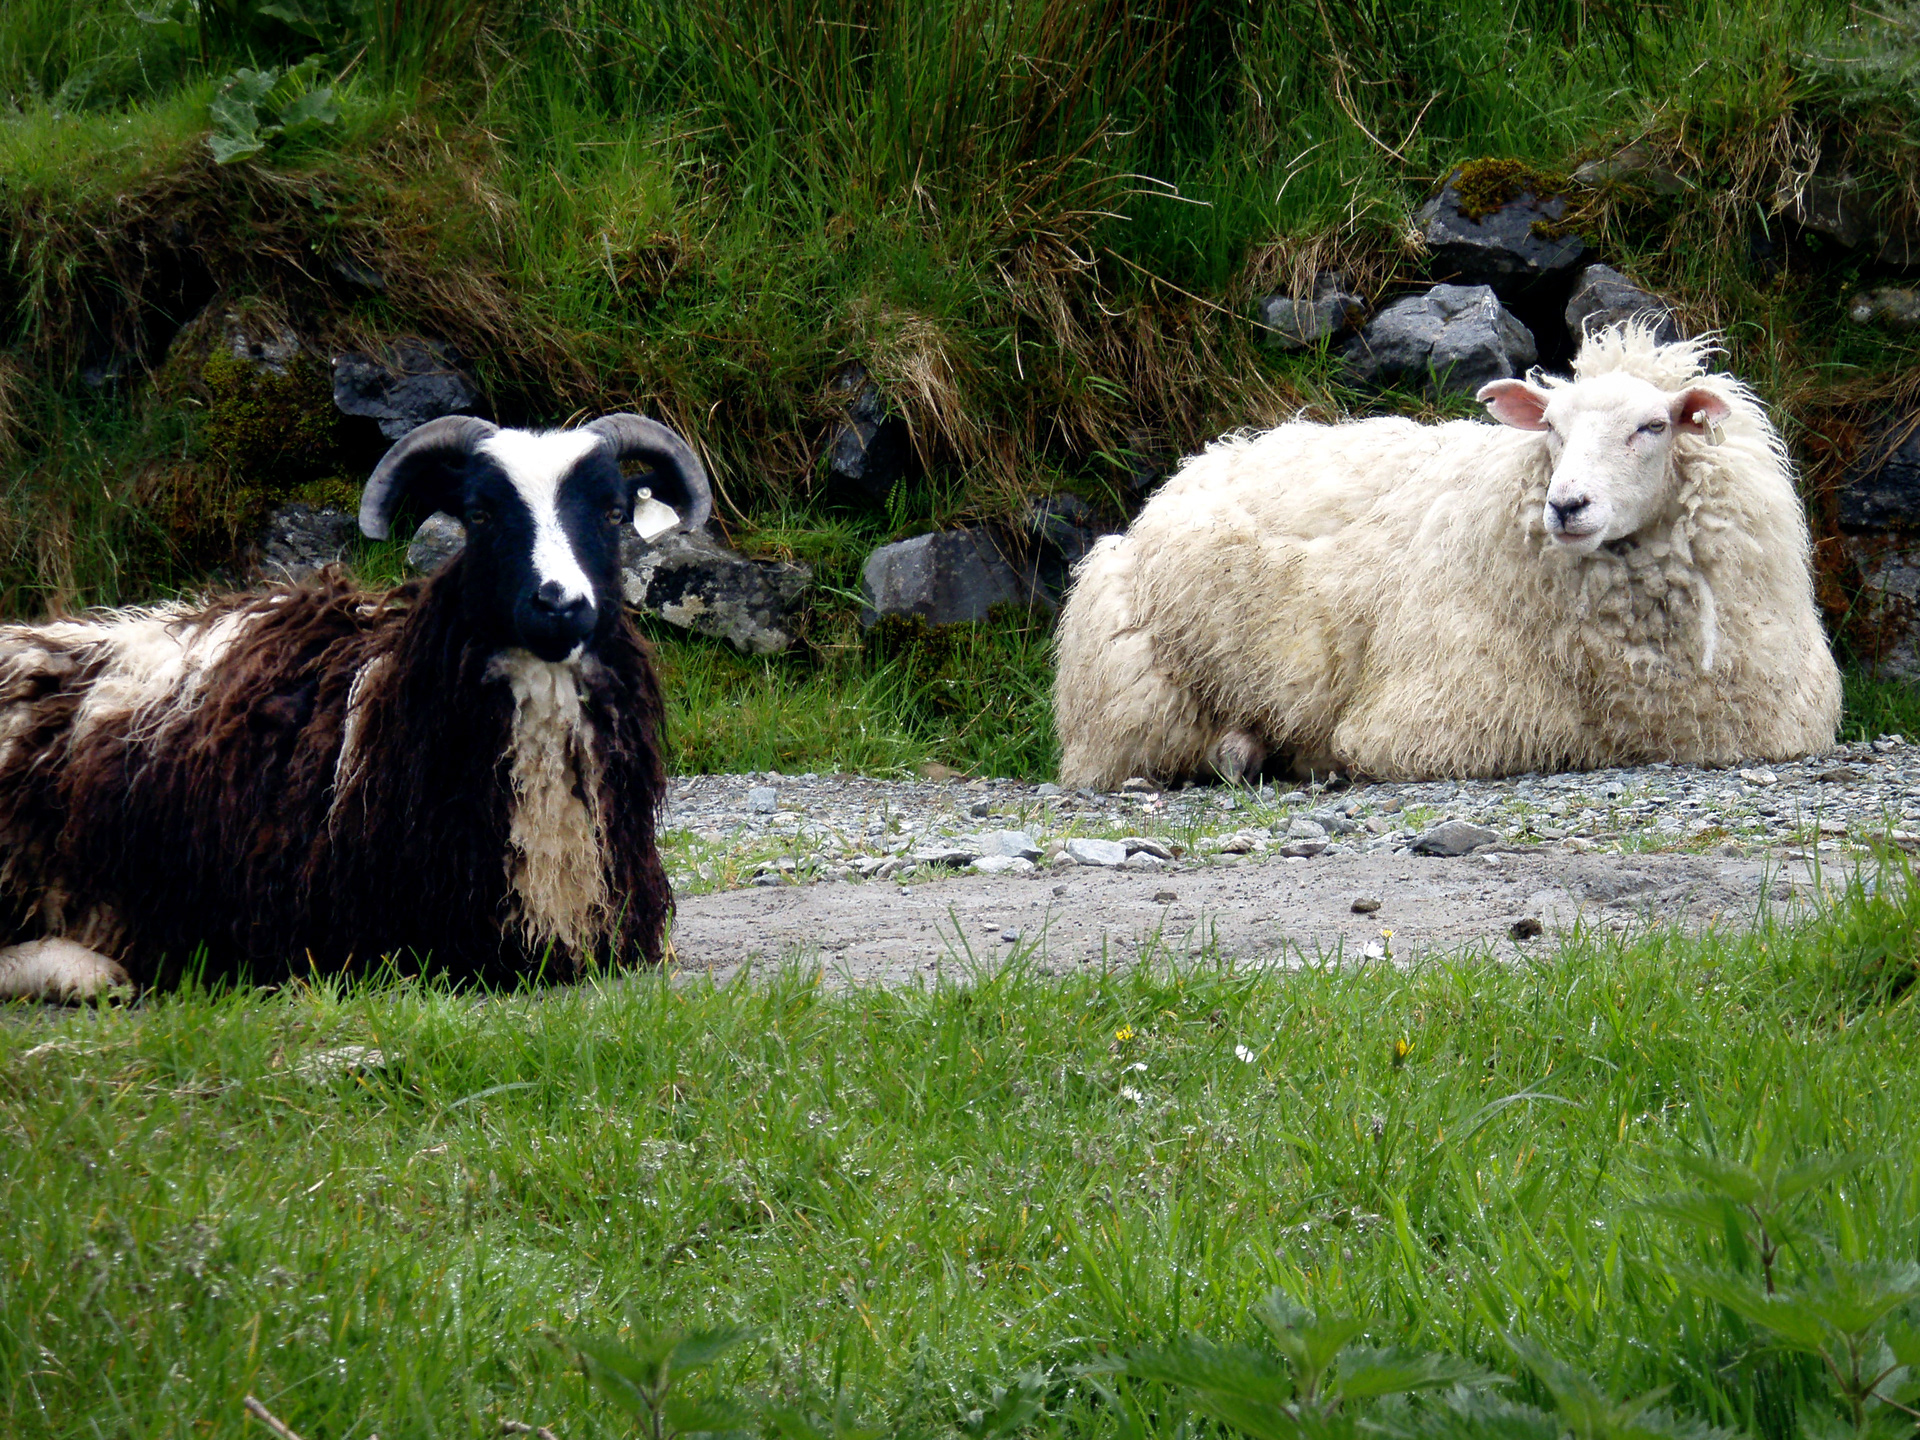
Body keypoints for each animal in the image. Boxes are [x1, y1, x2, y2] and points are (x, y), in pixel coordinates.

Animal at [1054, 326, 1841, 788]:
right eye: (1551, 428)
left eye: (1653, 427)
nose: (1566, 506)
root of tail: (1192, 466)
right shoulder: (1435, 718)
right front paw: (1325, 758)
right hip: (1138, 681)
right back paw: (1246, 754)